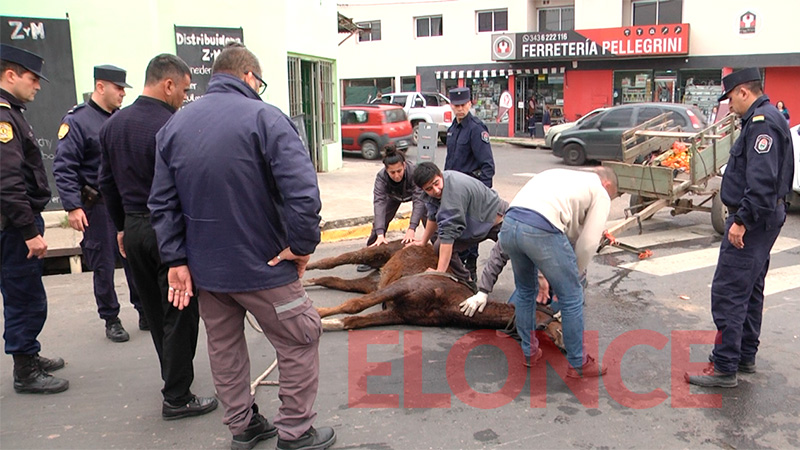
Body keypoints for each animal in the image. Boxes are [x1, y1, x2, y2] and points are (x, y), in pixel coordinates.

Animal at [304, 241, 564, 350]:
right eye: (560, 321)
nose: (564, 344)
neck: (450, 302)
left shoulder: (398, 314)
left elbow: (353, 321)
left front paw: (326, 323)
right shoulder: (403, 287)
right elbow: (354, 305)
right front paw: (317, 315)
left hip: (373, 282)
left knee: (331, 280)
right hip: (375, 253)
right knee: (332, 261)